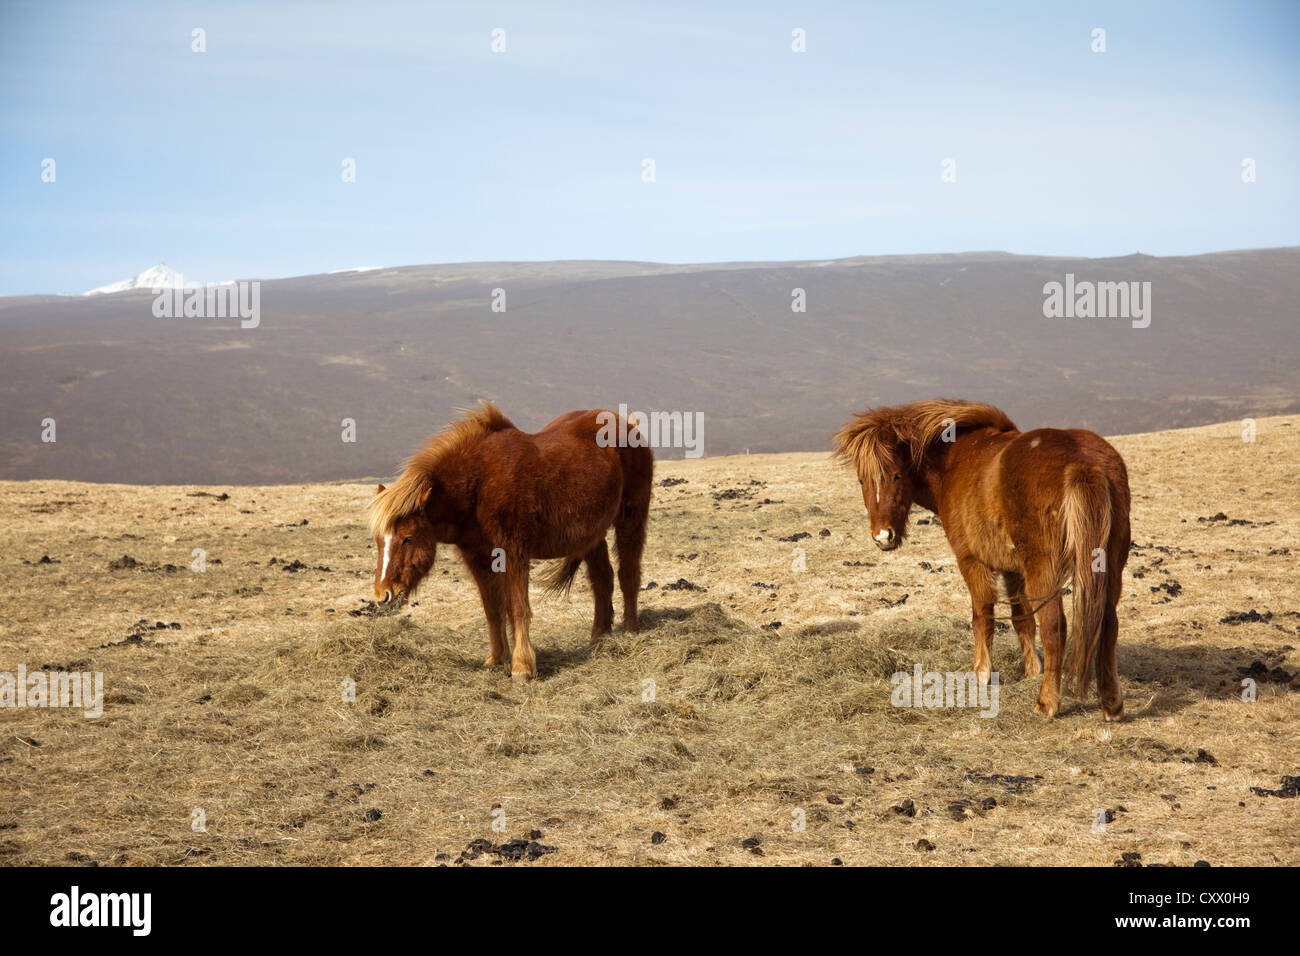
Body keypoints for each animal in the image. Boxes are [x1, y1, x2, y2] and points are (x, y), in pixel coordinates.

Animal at [366, 403, 650, 681]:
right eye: (379, 541)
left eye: (408, 538)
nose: (382, 595)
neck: (478, 483)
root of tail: (628, 425)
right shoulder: (478, 559)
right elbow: (492, 610)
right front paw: (496, 659)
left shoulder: (513, 554)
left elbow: (517, 608)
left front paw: (522, 667)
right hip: (591, 537)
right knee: (602, 579)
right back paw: (598, 637)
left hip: (631, 519)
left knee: (628, 574)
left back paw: (630, 632)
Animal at [837, 400, 1133, 723]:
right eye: (862, 480)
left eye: (896, 476)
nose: (883, 536)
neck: (954, 461)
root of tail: (1082, 463)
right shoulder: (1013, 570)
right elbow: (1022, 619)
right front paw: (1031, 669)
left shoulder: (972, 561)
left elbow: (982, 616)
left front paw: (981, 672)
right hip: (1108, 569)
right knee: (1108, 623)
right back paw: (1111, 704)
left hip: (1044, 571)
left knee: (1055, 627)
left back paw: (1046, 703)